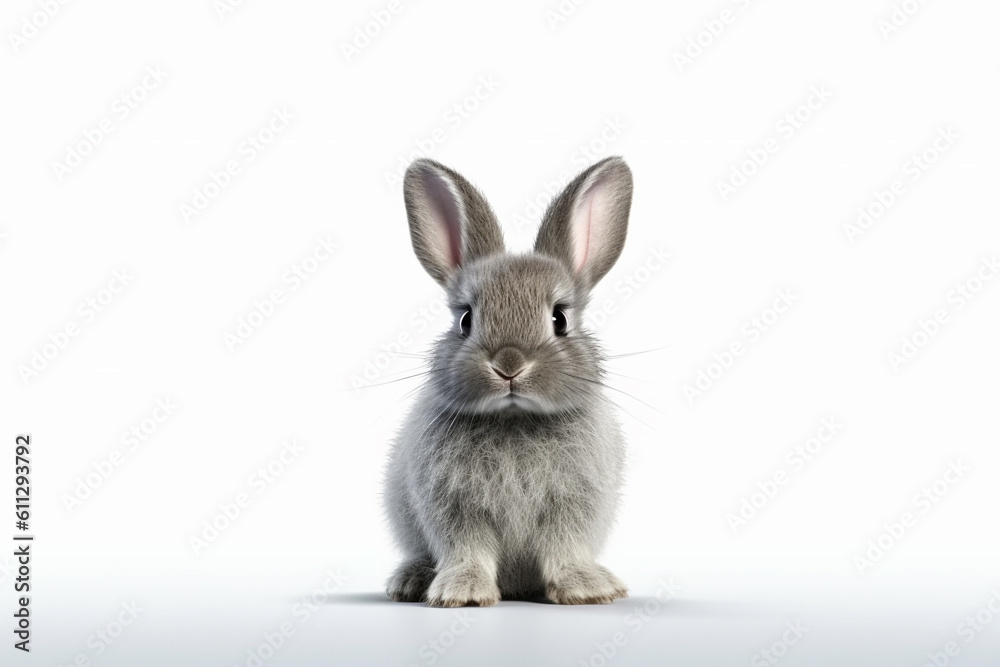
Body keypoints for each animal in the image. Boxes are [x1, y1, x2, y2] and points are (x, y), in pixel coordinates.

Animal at [384, 156, 633, 607]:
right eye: (465, 319)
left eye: (560, 319)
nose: (509, 364)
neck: (514, 420)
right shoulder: (454, 507)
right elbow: (466, 549)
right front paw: (462, 592)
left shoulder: (572, 505)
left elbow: (565, 546)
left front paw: (586, 589)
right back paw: (410, 580)